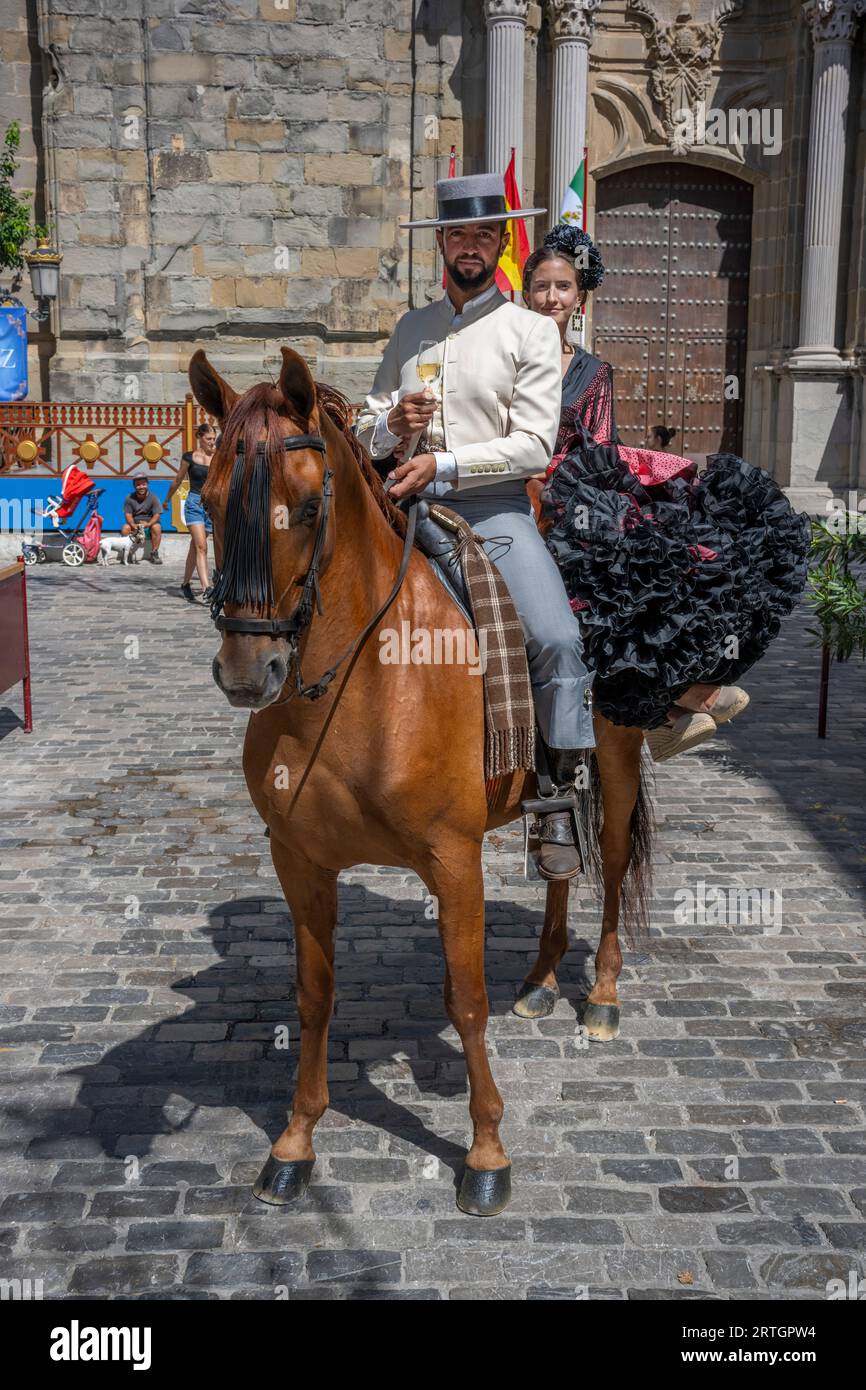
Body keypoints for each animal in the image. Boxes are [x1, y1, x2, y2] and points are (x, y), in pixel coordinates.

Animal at [189, 347, 650, 1217]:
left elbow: (464, 1000)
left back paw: (602, 996)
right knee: (559, 861)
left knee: (607, 864)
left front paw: (487, 1153)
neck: (360, 680)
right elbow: (313, 996)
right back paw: (541, 978)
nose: (244, 672)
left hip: (617, 752)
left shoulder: (452, 858)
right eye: (207, 498)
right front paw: (295, 1143)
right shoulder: (298, 859)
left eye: (308, 508)